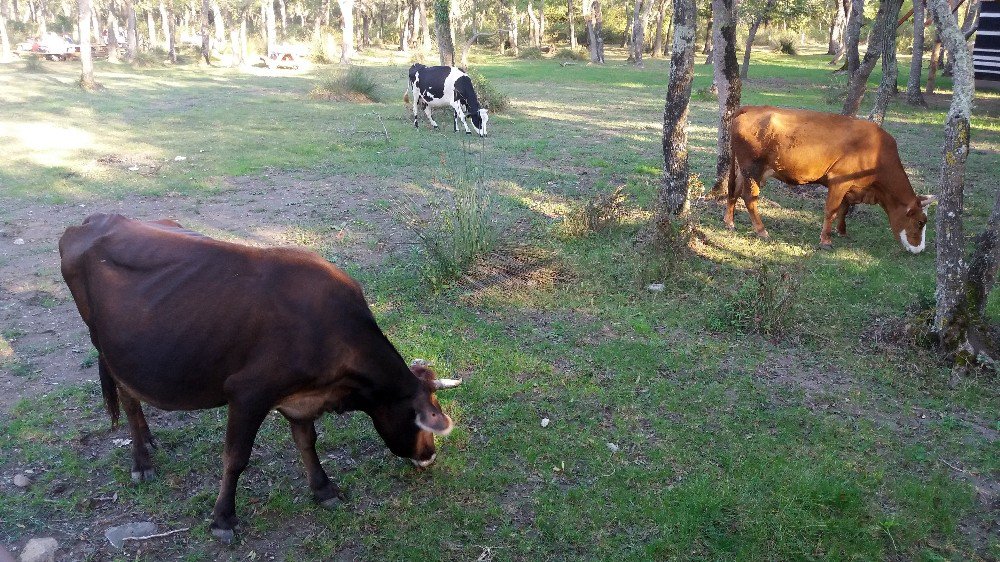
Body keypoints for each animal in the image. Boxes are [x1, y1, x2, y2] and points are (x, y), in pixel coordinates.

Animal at [64, 212, 462, 540]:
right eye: (422, 421)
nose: (429, 456)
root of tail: (97, 219)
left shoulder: (301, 397)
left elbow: (307, 442)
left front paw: (324, 490)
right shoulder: (248, 393)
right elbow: (236, 457)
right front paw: (223, 519)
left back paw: (148, 441)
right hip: (110, 349)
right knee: (128, 399)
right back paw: (141, 462)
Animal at [724, 104, 932, 252]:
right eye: (920, 222)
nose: (920, 249)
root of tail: (751, 108)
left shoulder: (850, 187)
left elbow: (844, 209)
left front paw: (842, 231)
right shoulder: (839, 181)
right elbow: (831, 210)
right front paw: (826, 240)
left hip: (744, 170)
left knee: (734, 191)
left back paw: (729, 223)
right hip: (753, 169)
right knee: (749, 197)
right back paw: (761, 231)